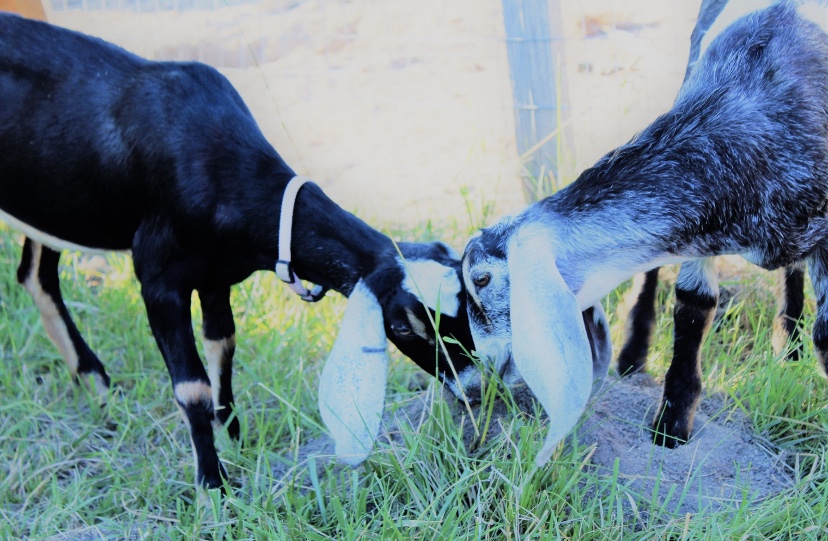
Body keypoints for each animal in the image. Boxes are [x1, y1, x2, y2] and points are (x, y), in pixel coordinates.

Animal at [0, 13, 472, 490]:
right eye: (404, 326)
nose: (472, 386)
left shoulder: (215, 276)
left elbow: (223, 347)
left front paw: (235, 440)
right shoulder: (158, 279)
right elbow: (191, 387)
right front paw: (213, 486)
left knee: (36, 275)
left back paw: (98, 388)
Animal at [460, 0, 828, 464]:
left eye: (481, 278)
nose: (485, 369)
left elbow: (827, 336)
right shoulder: (699, 225)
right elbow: (692, 303)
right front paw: (671, 426)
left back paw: (789, 344)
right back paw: (635, 353)